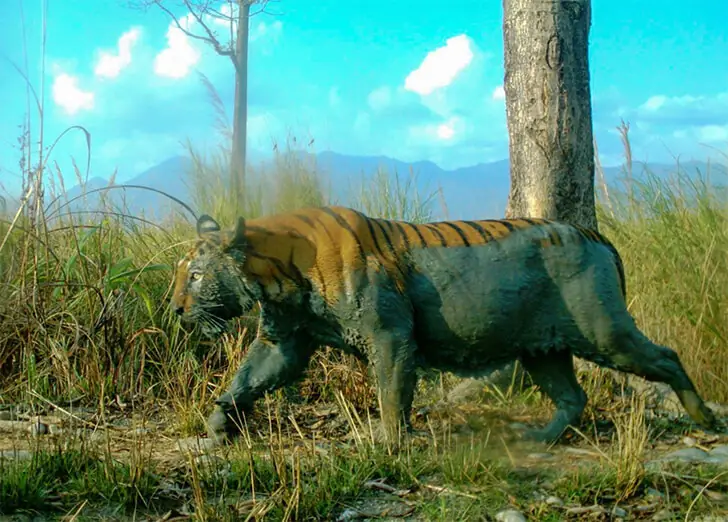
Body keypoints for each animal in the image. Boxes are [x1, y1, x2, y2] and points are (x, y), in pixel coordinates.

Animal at [170, 205, 716, 444]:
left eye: (195, 275)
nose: (174, 310)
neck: (277, 275)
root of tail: (595, 233)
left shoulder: (389, 336)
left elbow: (392, 392)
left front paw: (388, 442)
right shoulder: (283, 339)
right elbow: (245, 380)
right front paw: (218, 424)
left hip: (604, 331)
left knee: (665, 356)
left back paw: (704, 418)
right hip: (544, 350)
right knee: (572, 397)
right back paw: (537, 439)